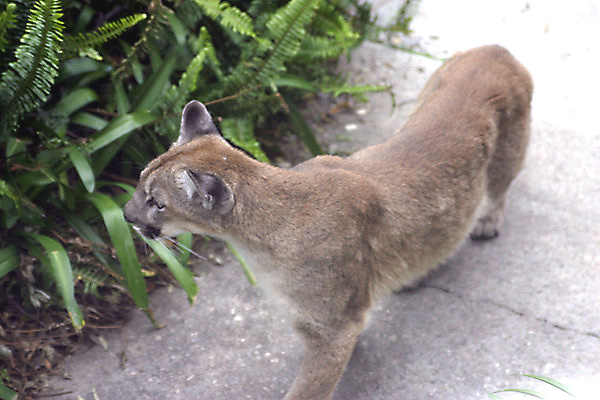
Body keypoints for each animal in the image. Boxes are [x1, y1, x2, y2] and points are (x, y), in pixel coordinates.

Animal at [124, 45, 532, 398]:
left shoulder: (330, 328)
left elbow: (310, 388)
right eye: (138, 181)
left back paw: (486, 223)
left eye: (157, 203)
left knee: (497, 192)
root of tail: (494, 48)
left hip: (505, 160)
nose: (126, 214)